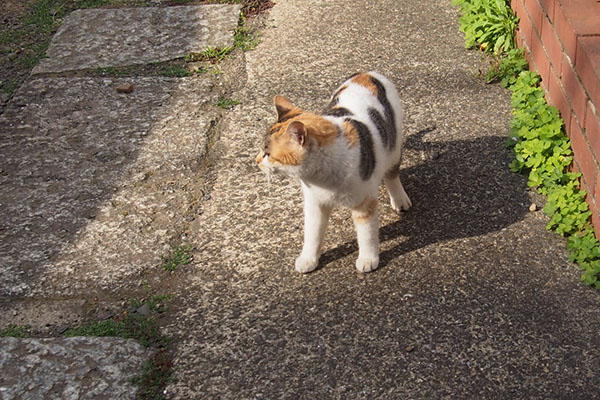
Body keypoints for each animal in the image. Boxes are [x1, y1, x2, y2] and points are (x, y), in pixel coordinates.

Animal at [255, 71, 410, 272]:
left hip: (394, 146)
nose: (256, 161)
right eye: (261, 151)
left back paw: (399, 199)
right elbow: (312, 235)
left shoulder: (364, 203)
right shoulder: (314, 204)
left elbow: (366, 235)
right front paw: (308, 259)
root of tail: (367, 73)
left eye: (268, 154)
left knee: (392, 174)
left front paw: (368, 259)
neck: (320, 179)